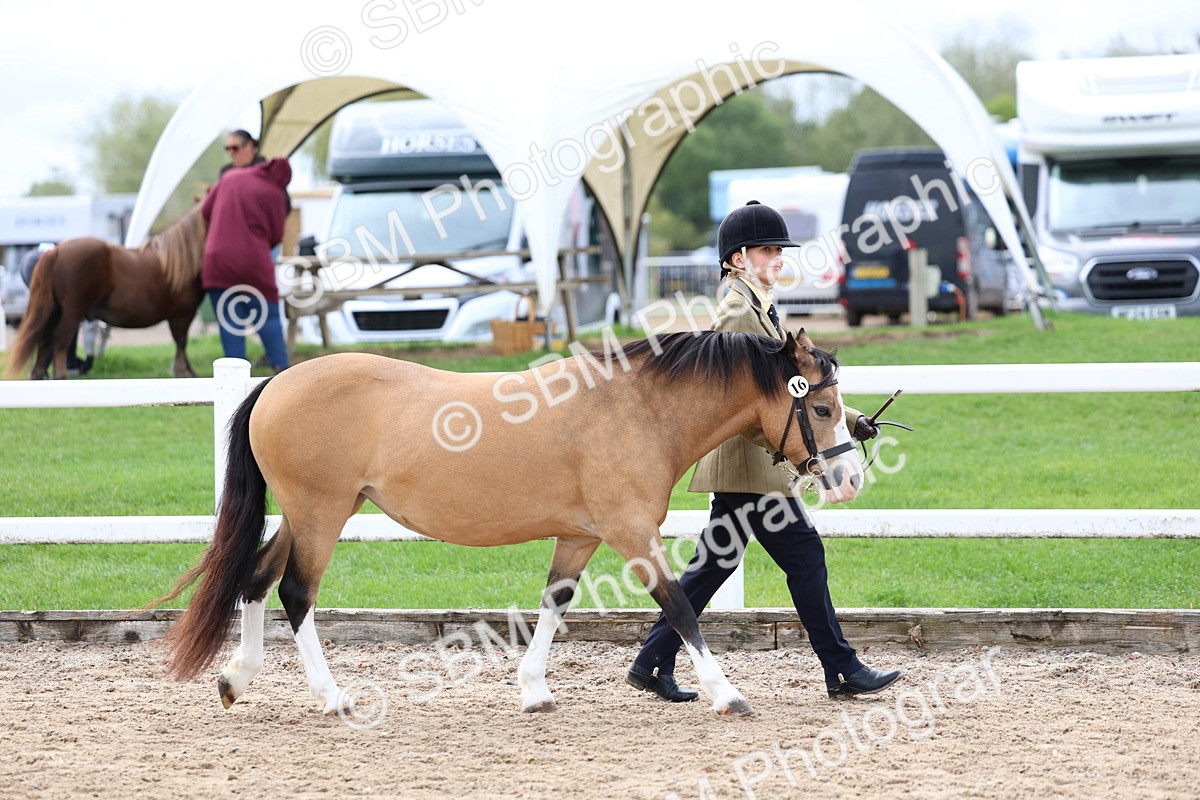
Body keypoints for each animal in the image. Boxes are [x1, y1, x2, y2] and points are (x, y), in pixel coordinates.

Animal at [3, 205, 206, 380]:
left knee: (44, 339)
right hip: (71, 312)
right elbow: (181, 342)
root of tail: (56, 250)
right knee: (59, 338)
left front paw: (187, 369)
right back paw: (60, 375)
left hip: (54, 310)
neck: (180, 259)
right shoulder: (183, 313)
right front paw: (183, 370)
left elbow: (180, 342)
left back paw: (37, 374)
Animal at [152, 328, 863, 717]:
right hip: (320, 514)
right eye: (821, 407)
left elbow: (555, 601)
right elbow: (681, 606)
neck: (635, 408)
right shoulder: (631, 533)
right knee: (296, 593)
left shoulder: (580, 535)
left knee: (255, 579)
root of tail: (275, 385)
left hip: (314, 514)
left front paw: (533, 690)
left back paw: (235, 679)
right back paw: (331, 697)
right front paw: (725, 693)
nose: (850, 479)